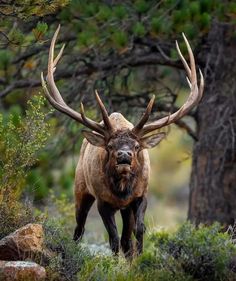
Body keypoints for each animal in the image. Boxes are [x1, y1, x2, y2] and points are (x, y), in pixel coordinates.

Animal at [41, 25, 204, 256]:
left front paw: (140, 257)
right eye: (110, 146)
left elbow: (137, 232)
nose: (124, 155)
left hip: (122, 207)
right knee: (79, 229)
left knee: (125, 237)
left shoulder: (140, 196)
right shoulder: (103, 201)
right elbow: (114, 239)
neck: (122, 191)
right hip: (80, 188)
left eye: (136, 146)